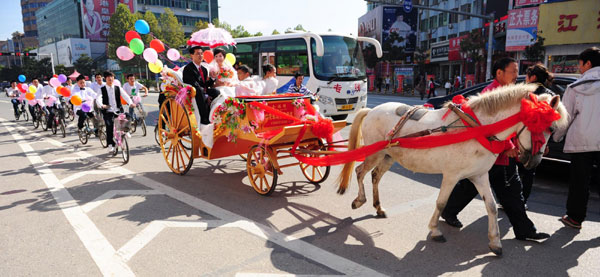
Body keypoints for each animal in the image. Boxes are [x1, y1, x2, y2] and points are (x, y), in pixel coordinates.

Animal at [338, 83, 568, 254]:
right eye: (543, 124)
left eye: (552, 128)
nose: (534, 162)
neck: (478, 128)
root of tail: (372, 110)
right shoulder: (451, 175)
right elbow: (441, 203)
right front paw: (435, 231)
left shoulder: (479, 175)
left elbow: (492, 206)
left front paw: (495, 242)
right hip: (374, 153)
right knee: (360, 171)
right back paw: (359, 200)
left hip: (388, 156)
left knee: (375, 176)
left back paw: (378, 207)